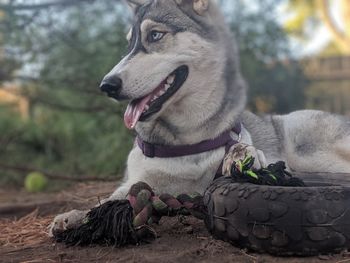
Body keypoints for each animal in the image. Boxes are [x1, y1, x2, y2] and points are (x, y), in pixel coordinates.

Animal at [48, 0, 350, 235]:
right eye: (129, 44)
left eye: (155, 35)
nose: (107, 85)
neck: (186, 140)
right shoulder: (137, 180)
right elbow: (108, 200)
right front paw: (76, 216)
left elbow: (244, 148)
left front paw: (244, 154)